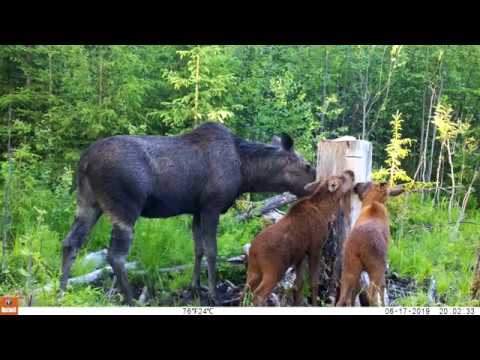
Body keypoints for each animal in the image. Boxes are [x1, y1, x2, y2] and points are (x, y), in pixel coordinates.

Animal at [60, 122, 316, 306]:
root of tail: (84, 162)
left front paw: (195, 287)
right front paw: (214, 294)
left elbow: (197, 248)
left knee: (70, 243)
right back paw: (132, 300)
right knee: (115, 256)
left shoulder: (196, 210)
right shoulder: (212, 206)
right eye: (307, 165)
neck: (246, 173)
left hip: (88, 203)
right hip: (125, 208)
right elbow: (212, 251)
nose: (316, 185)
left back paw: (62, 293)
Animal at [246, 170, 354, 306]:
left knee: (244, 292)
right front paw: (314, 303)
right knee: (258, 296)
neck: (325, 212)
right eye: (342, 178)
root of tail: (253, 251)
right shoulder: (315, 247)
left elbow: (298, 284)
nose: (351, 172)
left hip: (253, 270)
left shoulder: (300, 255)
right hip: (274, 271)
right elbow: (313, 282)